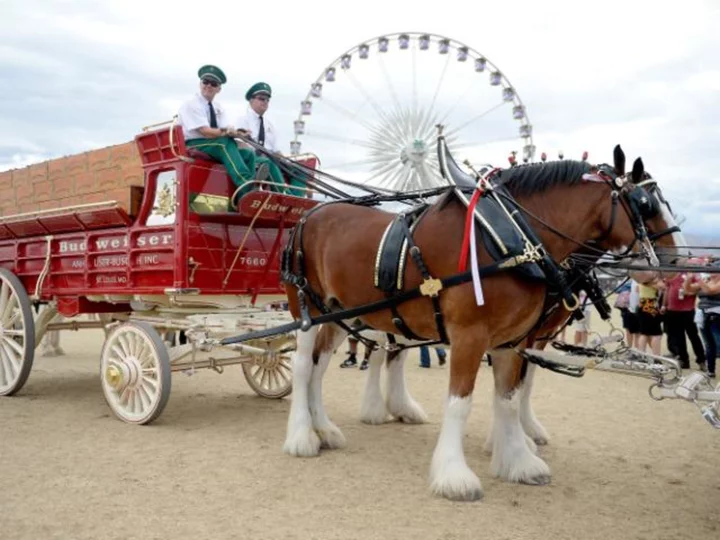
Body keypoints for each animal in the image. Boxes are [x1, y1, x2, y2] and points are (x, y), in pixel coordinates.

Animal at [280, 146, 680, 500]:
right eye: (646, 203)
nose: (675, 263)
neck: (511, 237)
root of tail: (309, 216)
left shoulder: (514, 339)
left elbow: (509, 397)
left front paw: (517, 459)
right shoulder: (470, 336)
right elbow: (461, 402)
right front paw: (454, 475)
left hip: (340, 314)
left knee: (321, 365)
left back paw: (325, 429)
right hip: (307, 311)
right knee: (302, 365)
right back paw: (302, 435)